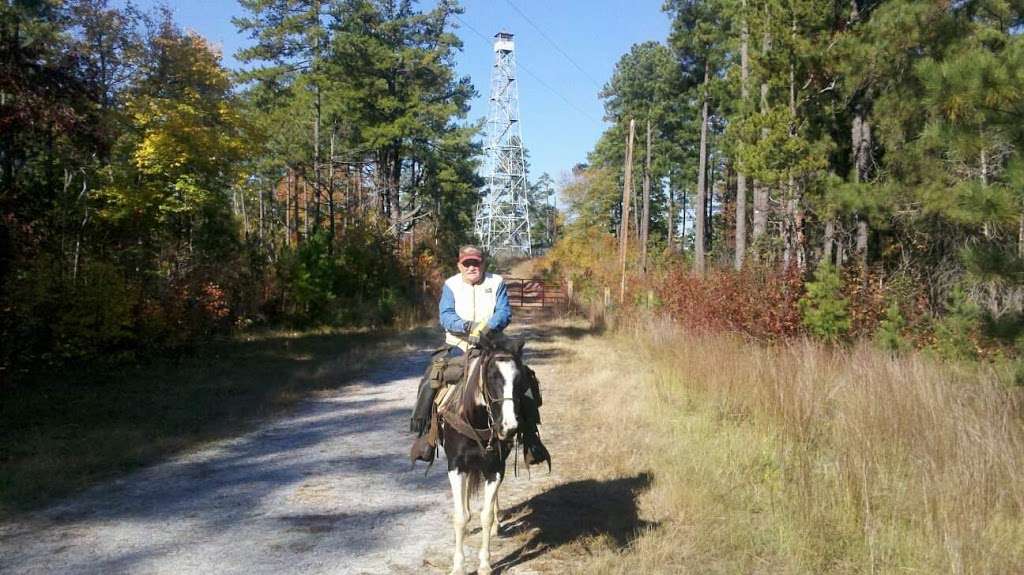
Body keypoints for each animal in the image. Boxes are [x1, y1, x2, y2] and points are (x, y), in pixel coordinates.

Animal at [438, 333, 528, 572]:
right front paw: (458, 566)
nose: (509, 427)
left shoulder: (495, 468)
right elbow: (460, 517)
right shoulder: (456, 467)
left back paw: (497, 523)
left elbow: (485, 516)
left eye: (519, 379)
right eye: (491, 376)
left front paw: (485, 564)